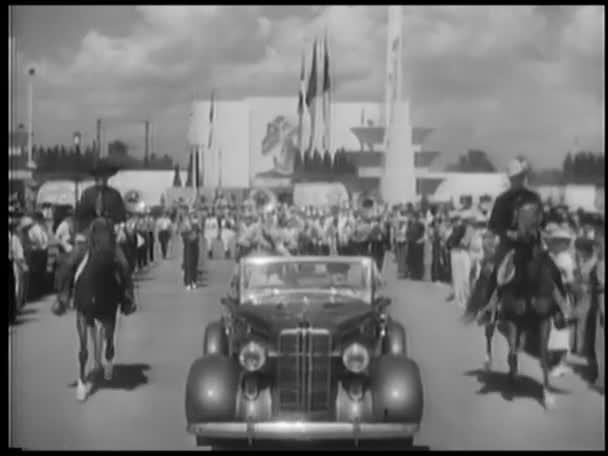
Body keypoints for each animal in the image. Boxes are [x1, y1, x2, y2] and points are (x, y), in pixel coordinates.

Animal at [73, 217, 124, 400]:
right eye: (93, 233)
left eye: (112, 233)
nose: (108, 258)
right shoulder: (81, 315)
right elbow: (83, 352)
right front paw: (82, 388)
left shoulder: (110, 314)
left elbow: (108, 345)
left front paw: (108, 371)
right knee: (95, 332)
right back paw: (96, 366)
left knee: (102, 335)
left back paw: (102, 366)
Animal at [470, 201, 564, 408]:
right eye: (518, 216)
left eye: (537, 215)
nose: (525, 234)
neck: (530, 285)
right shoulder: (511, 320)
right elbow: (513, 351)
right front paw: (511, 382)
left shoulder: (543, 321)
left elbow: (543, 355)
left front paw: (548, 395)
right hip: (495, 314)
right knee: (490, 333)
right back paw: (490, 365)